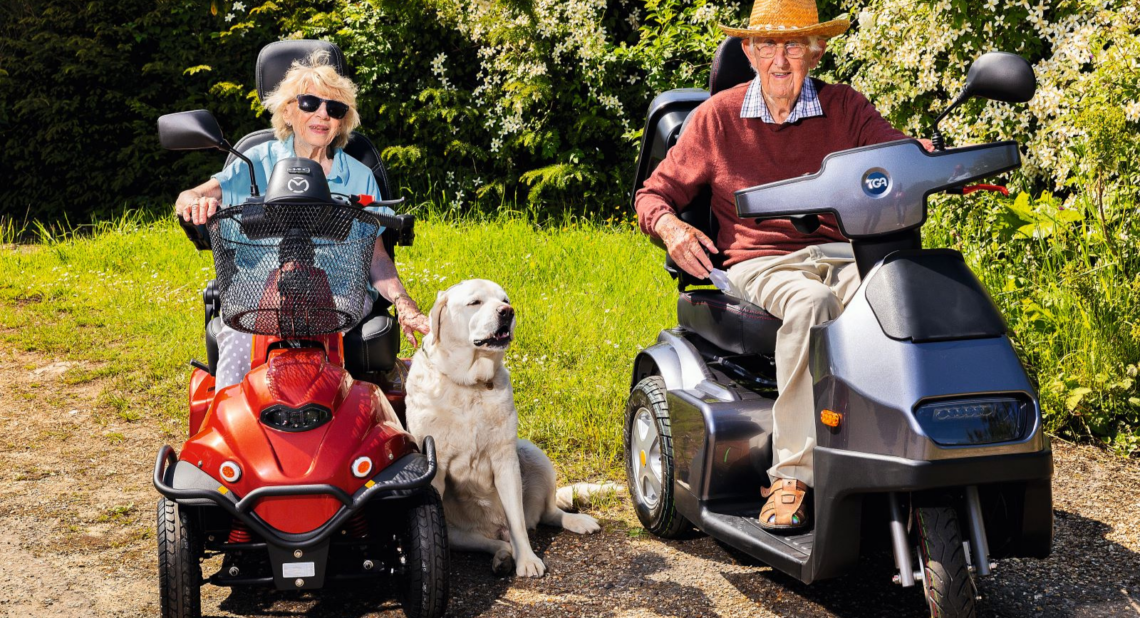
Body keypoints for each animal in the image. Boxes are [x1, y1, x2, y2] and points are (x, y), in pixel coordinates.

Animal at [405, 282, 611, 581]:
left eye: (505, 299)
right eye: (475, 302)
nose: (507, 311)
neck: (470, 385)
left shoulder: (505, 460)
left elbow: (518, 523)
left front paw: (528, 561)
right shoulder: (436, 468)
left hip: (532, 453)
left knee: (546, 514)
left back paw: (576, 522)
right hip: (459, 535)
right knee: (496, 542)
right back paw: (503, 557)